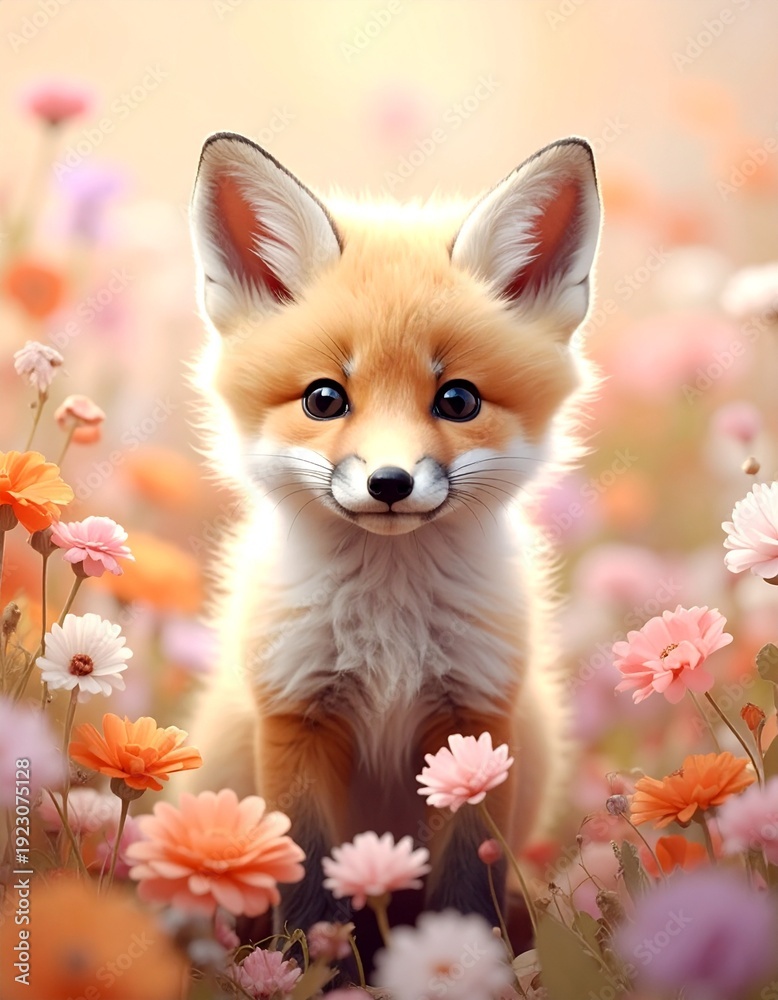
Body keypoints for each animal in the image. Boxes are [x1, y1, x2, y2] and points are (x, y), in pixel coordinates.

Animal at [184, 131, 602, 938]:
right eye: (324, 398)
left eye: (458, 400)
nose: (389, 483)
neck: (389, 630)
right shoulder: (296, 716)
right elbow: (307, 885)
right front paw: (306, 958)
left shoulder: (475, 723)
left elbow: (468, 884)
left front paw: (467, 955)